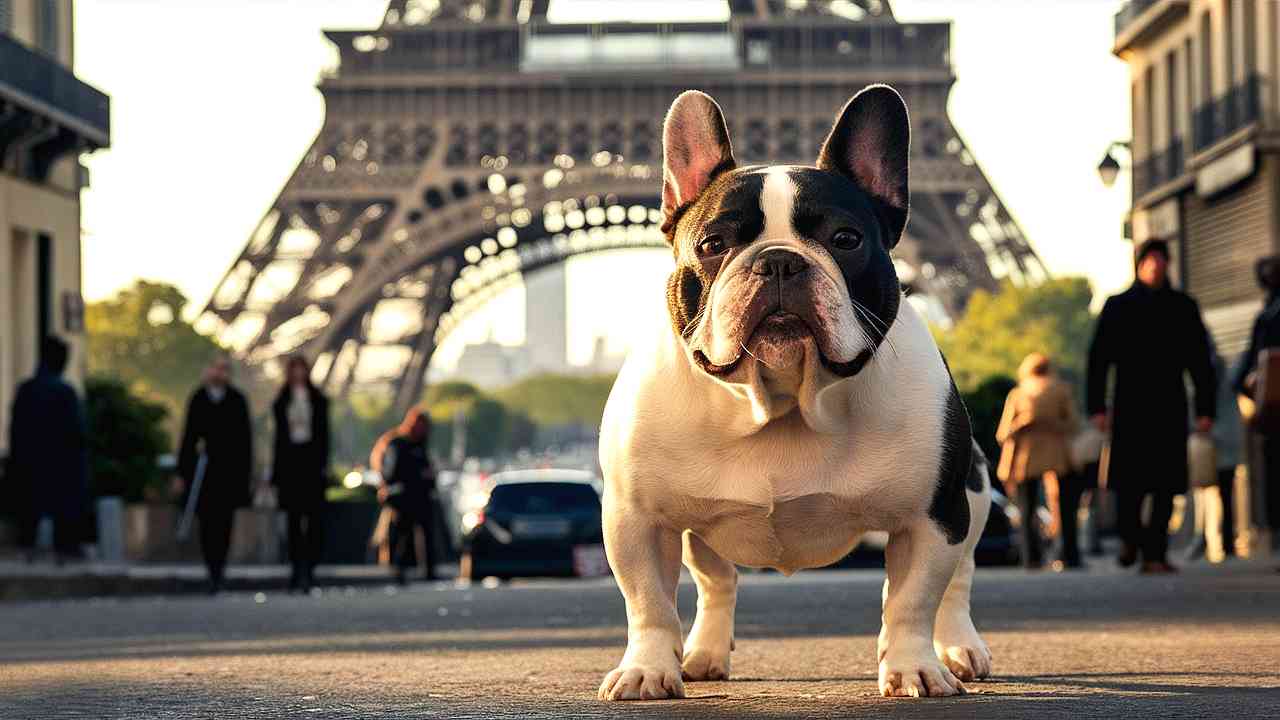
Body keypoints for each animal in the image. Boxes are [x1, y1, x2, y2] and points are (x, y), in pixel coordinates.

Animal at [593, 87, 993, 696]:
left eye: (846, 240)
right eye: (712, 243)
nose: (779, 259)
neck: (783, 401)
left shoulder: (932, 515)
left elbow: (913, 600)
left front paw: (912, 667)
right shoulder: (635, 518)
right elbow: (649, 604)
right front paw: (647, 670)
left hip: (973, 487)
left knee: (959, 579)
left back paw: (957, 648)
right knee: (716, 581)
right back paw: (704, 654)